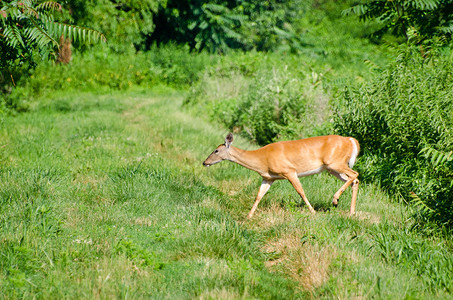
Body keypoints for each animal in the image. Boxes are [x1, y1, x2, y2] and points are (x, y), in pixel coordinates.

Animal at [203, 134, 358, 218]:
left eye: (216, 150)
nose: (204, 162)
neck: (262, 160)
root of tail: (351, 141)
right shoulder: (268, 178)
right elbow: (259, 195)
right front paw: (248, 216)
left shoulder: (289, 170)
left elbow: (301, 191)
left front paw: (313, 212)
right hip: (332, 168)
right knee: (354, 180)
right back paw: (351, 212)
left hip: (335, 163)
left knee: (355, 174)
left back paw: (335, 199)